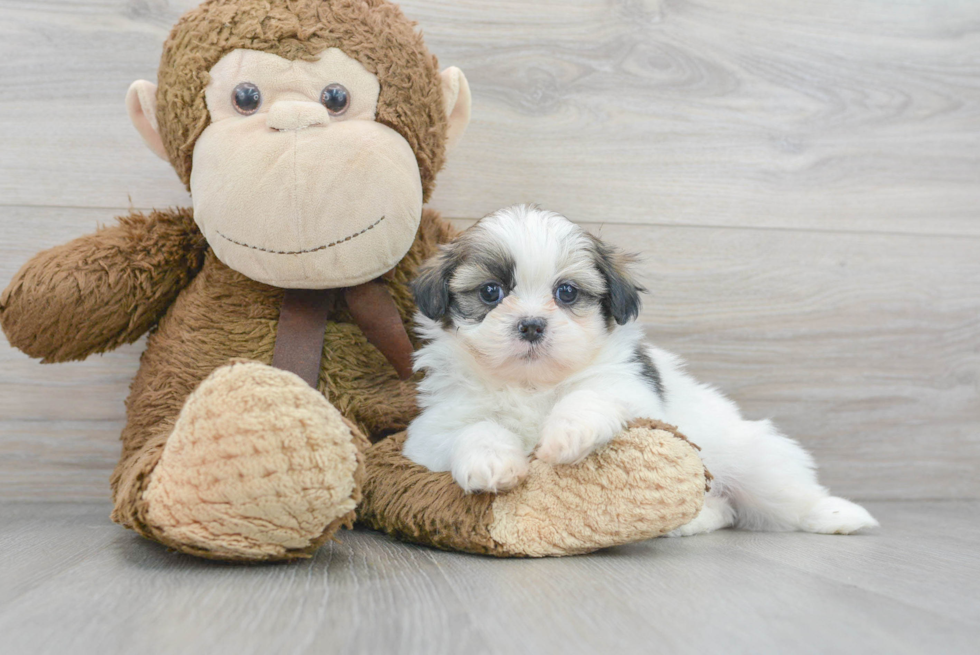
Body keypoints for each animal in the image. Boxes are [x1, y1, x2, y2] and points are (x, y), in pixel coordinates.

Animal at [402, 206, 876, 540]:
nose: (532, 325)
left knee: (785, 495)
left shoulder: (634, 390)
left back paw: (838, 515)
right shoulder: (431, 430)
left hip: (756, 462)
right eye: (490, 292)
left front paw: (568, 433)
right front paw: (491, 462)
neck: (533, 383)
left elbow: (590, 394)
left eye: (567, 292)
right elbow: (472, 428)